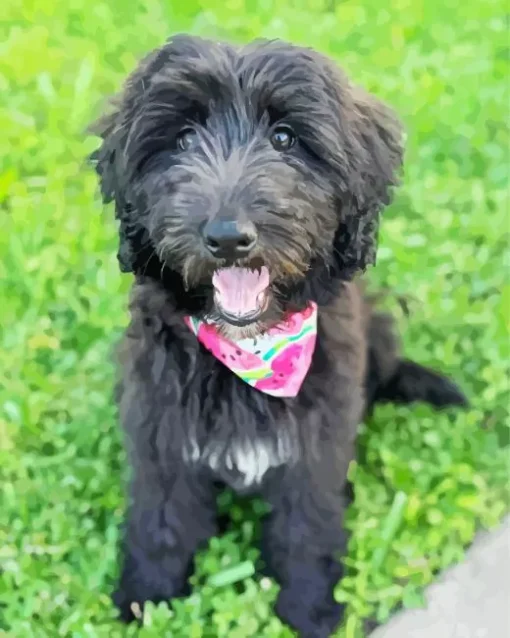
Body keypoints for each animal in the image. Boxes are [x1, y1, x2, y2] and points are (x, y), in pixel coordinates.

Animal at [90, 36, 466, 638]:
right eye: (183, 139)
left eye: (285, 139)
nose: (226, 238)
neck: (253, 352)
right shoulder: (160, 431)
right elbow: (162, 519)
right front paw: (147, 600)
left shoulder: (318, 443)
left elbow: (308, 526)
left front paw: (311, 609)